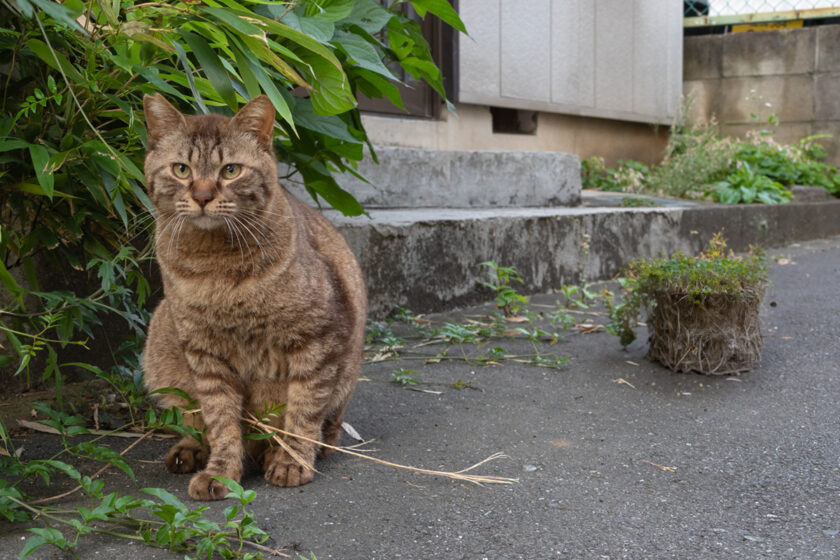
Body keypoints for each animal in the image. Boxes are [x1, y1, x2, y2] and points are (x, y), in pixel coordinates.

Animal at [140, 94, 364, 500]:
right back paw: (188, 451)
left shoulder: (317, 339)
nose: (202, 196)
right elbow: (220, 420)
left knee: (324, 428)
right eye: (181, 169)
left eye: (230, 170)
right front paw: (221, 473)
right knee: (193, 421)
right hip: (160, 345)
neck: (216, 266)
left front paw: (291, 462)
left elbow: (303, 411)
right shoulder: (204, 352)